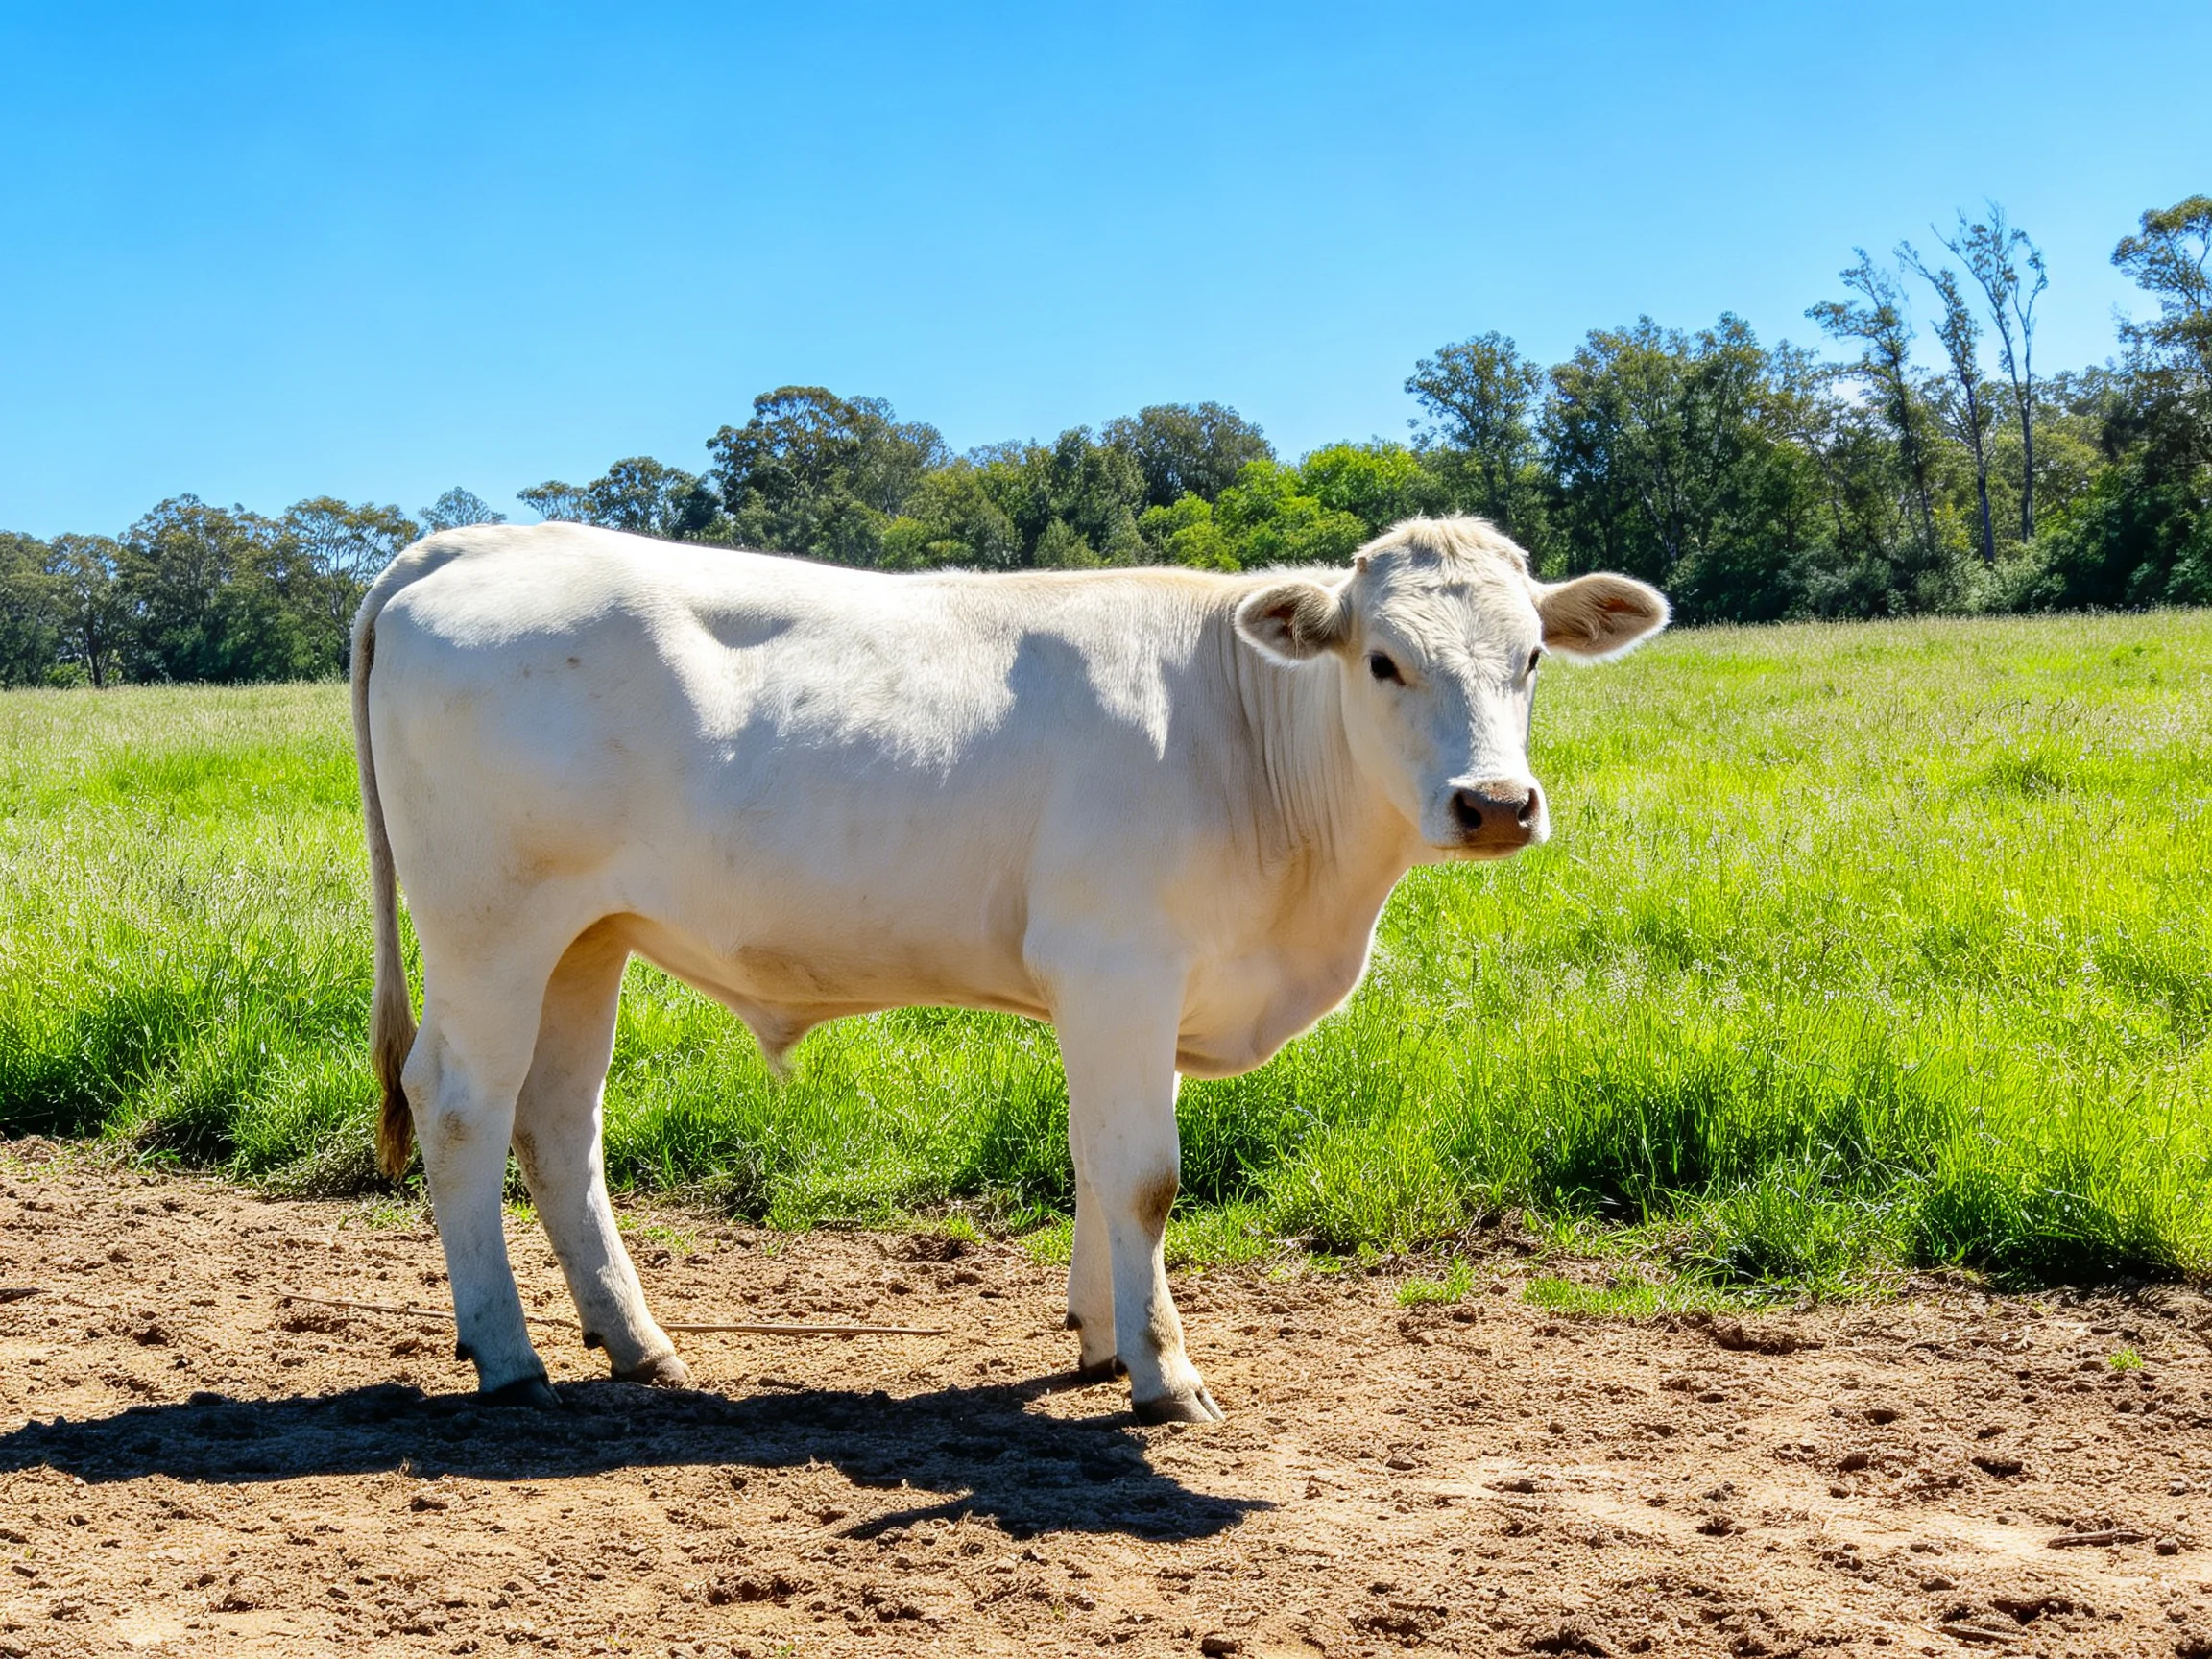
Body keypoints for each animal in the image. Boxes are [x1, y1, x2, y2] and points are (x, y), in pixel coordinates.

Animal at [350, 514, 1667, 1421]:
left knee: (558, 1126)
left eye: (1532, 657)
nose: (1496, 805)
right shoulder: (1119, 967)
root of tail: (484, 538)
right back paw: (510, 1357)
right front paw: (1164, 1375)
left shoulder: (1135, 992)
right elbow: (1145, 1177)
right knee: (461, 1108)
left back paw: (638, 1343)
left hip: (588, 938)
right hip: (489, 927)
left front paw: (1102, 1338)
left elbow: (1097, 1163)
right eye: (1384, 660)